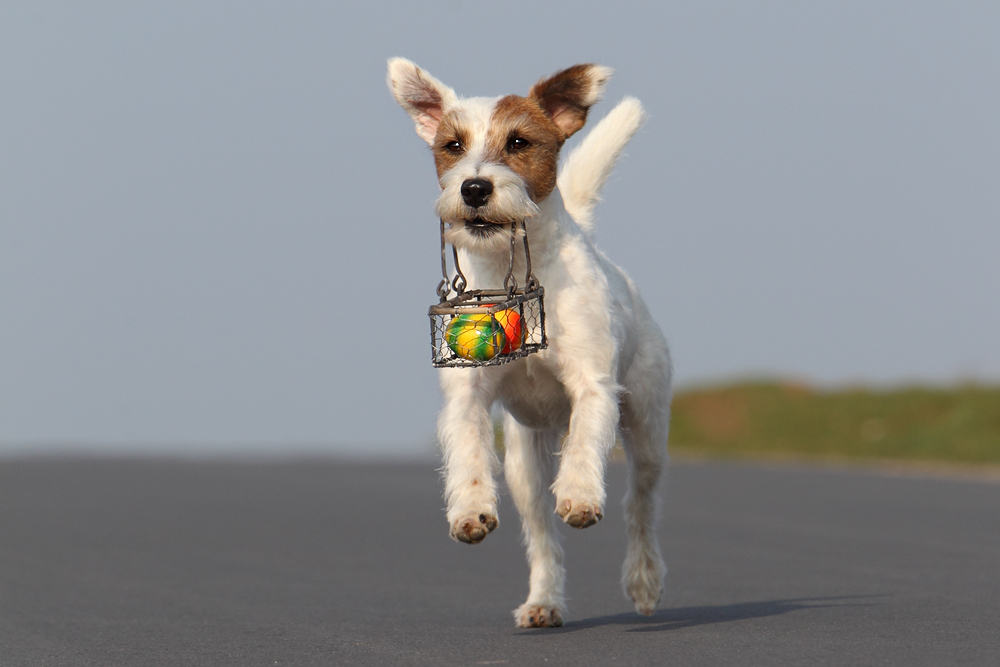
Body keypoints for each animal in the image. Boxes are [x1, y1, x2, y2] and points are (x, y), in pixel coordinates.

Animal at [388, 57, 672, 628]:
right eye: (452, 145)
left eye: (519, 142)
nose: (475, 187)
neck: (513, 279)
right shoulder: (467, 397)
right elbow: (468, 451)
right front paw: (469, 509)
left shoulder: (593, 384)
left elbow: (585, 440)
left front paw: (580, 491)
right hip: (524, 462)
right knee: (542, 535)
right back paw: (544, 600)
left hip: (649, 429)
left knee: (641, 508)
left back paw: (644, 579)